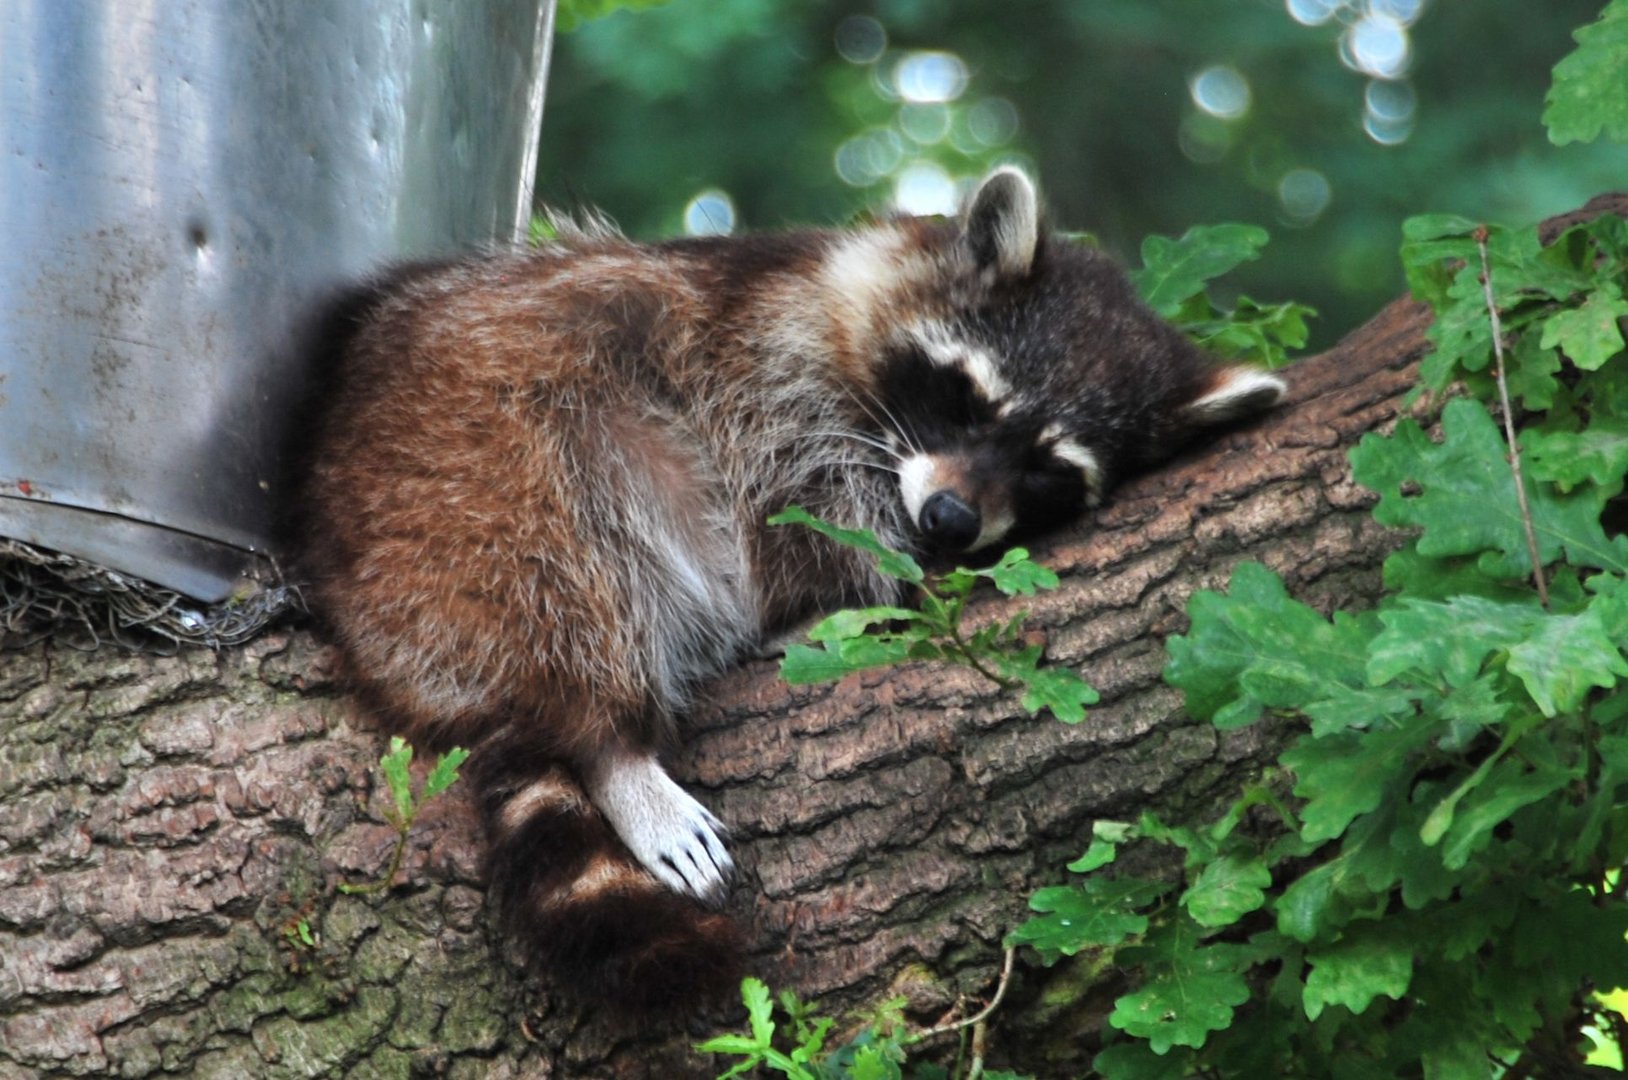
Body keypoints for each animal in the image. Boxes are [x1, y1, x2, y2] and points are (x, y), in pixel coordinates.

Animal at [296, 166, 1282, 1016]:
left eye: (1048, 470)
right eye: (967, 398)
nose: (951, 521)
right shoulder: (763, 366)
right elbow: (789, 509)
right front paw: (840, 594)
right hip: (475, 475)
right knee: (575, 564)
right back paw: (609, 745)